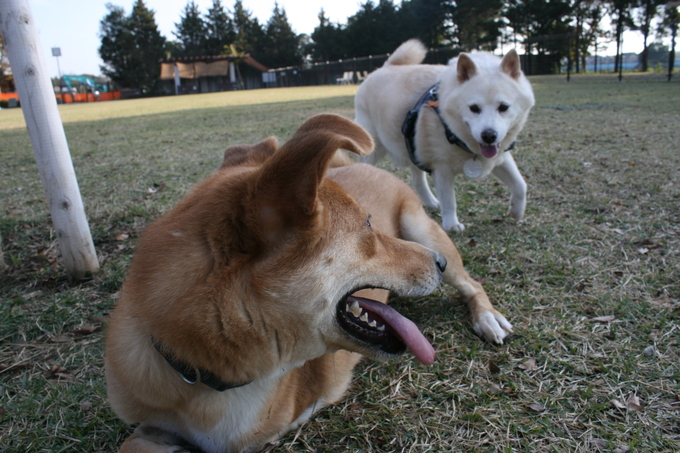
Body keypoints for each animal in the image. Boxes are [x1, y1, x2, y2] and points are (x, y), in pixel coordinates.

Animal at [106, 114, 510, 452]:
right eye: (367, 227)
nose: (438, 264)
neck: (193, 378)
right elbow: (131, 443)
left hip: (425, 232)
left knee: (472, 284)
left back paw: (487, 318)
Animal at [354, 40, 532, 231]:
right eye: (474, 108)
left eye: (503, 107)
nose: (489, 136)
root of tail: (385, 67)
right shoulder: (442, 169)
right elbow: (449, 200)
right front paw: (451, 224)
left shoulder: (500, 157)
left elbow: (520, 185)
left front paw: (516, 211)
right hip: (373, 151)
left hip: (413, 148)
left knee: (418, 180)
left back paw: (430, 202)